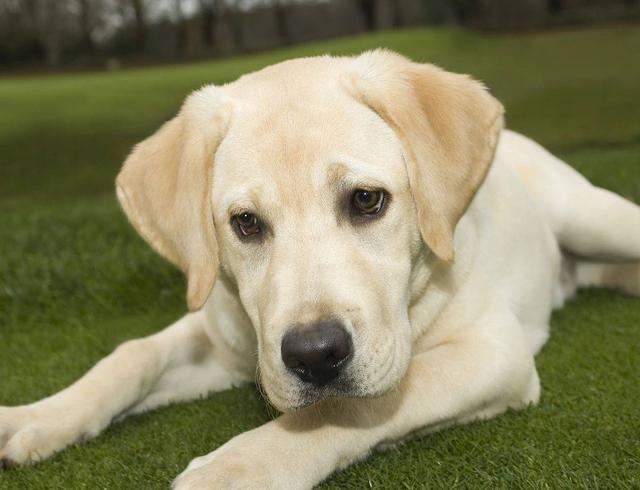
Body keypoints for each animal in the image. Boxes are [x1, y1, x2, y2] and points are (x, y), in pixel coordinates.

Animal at [1, 49, 640, 486]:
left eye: (366, 200)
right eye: (245, 223)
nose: (314, 354)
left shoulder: (491, 352)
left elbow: (354, 404)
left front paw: (238, 468)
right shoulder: (225, 335)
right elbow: (131, 356)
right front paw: (37, 417)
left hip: (594, 216)